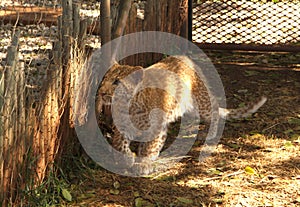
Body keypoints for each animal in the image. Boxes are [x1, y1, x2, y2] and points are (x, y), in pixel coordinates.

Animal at [95, 55, 264, 175]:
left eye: (117, 82)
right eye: (104, 79)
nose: (101, 91)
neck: (128, 106)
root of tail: (185, 58)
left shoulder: (156, 127)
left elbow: (150, 146)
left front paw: (143, 163)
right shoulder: (123, 126)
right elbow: (119, 143)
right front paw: (128, 158)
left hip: (202, 104)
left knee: (215, 110)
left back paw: (211, 134)